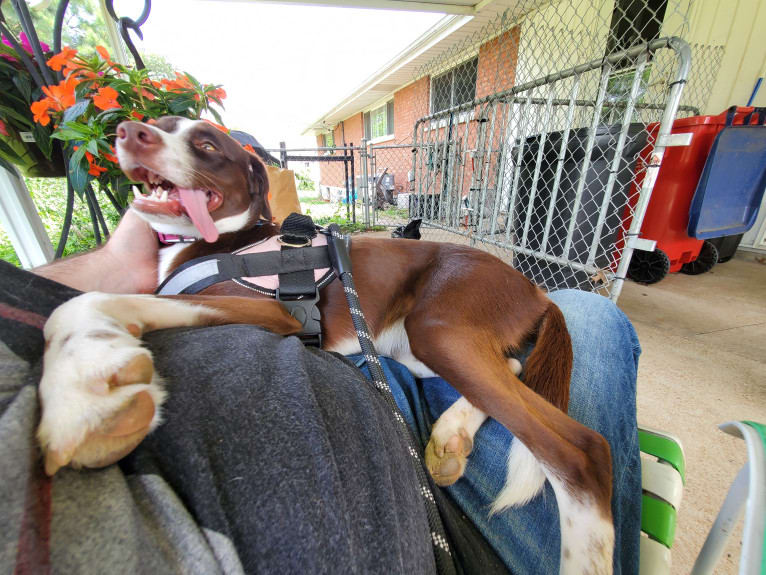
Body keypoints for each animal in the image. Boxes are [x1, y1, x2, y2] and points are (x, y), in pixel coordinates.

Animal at [37, 117, 616, 575]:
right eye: (158, 124)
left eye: (205, 143)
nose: (129, 132)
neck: (226, 243)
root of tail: (537, 290)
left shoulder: (269, 311)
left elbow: (83, 302)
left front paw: (81, 393)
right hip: (414, 347)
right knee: (514, 367)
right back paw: (452, 435)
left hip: (439, 328)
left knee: (579, 450)